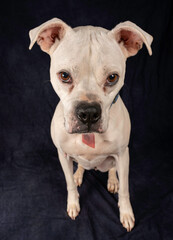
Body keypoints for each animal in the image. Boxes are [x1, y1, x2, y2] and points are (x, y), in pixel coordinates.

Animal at [29, 17, 152, 232]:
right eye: (64, 75)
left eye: (112, 77)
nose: (88, 113)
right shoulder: (62, 154)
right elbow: (69, 183)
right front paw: (73, 203)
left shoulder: (123, 154)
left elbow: (125, 190)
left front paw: (126, 213)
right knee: (79, 166)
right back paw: (79, 174)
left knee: (112, 169)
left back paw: (112, 180)